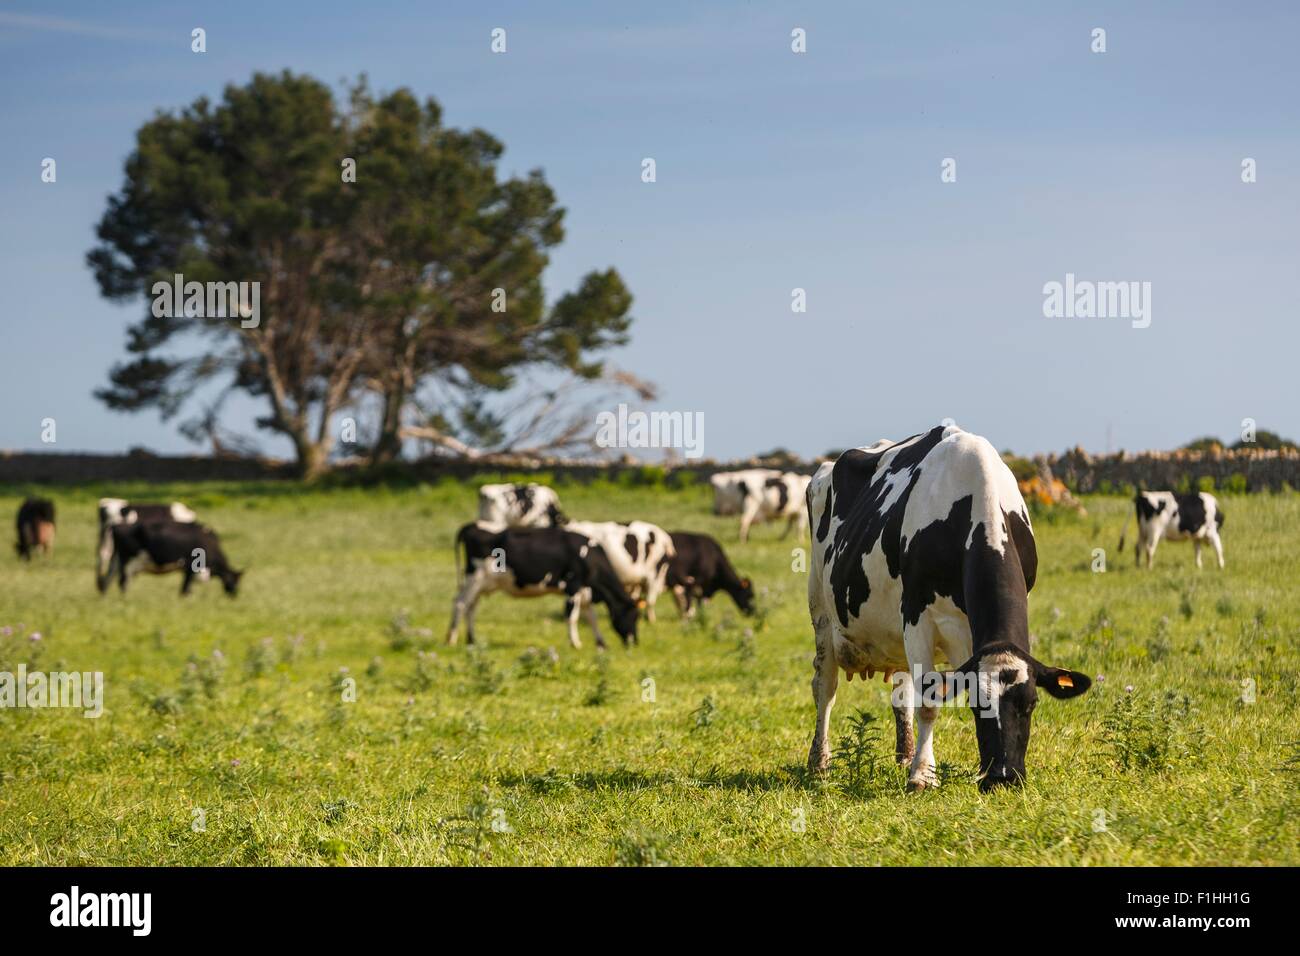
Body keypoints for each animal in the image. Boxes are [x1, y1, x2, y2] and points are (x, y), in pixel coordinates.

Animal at [107, 521, 244, 596]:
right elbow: (185, 589)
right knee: (123, 583)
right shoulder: (190, 568)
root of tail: (117, 526)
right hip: (128, 562)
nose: (235, 595)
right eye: (235, 581)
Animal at [447, 524, 639, 649]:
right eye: (633, 616)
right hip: (475, 578)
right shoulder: (573, 585)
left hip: (479, 584)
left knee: (471, 606)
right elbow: (572, 617)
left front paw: (600, 642)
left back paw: (471, 639)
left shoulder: (584, 590)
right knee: (461, 603)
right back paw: (451, 639)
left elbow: (592, 617)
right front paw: (575, 643)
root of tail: (472, 526)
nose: (635, 642)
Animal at [806, 425, 1091, 792]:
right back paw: (819, 762)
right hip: (821, 610)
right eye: (976, 704)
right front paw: (922, 775)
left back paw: (904, 756)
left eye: (1031, 703)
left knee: (901, 692)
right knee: (825, 688)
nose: (1003, 778)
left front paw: (931, 767)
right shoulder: (917, 616)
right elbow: (928, 701)